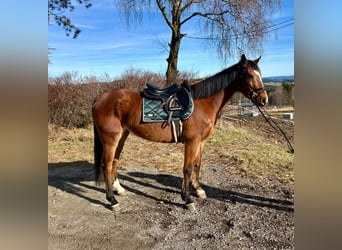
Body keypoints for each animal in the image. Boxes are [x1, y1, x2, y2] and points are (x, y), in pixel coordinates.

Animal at [92, 54, 268, 209]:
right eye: (250, 75)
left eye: (260, 74)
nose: (264, 99)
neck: (203, 103)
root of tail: (101, 98)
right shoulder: (192, 142)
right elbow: (187, 168)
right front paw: (187, 199)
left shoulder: (201, 142)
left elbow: (197, 164)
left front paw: (199, 190)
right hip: (110, 140)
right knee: (106, 165)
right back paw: (112, 200)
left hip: (122, 136)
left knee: (115, 162)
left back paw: (119, 189)